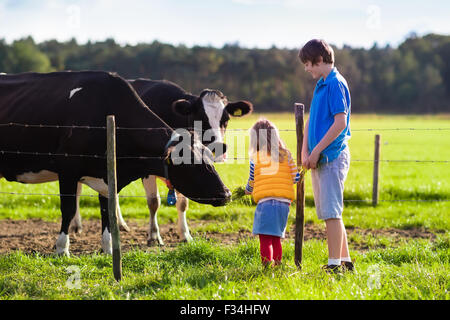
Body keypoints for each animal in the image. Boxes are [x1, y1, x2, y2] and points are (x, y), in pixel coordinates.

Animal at [0, 72, 232, 255]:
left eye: (208, 157)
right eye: (191, 163)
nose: (226, 194)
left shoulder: (108, 174)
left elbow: (107, 211)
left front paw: (108, 248)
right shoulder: (67, 170)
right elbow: (67, 208)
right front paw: (62, 248)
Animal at [71, 79, 253, 245]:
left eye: (226, 119)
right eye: (201, 117)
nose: (219, 147)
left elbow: (183, 203)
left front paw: (185, 235)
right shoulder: (148, 170)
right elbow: (154, 202)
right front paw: (154, 235)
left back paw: (120, 224)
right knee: (79, 190)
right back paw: (76, 225)